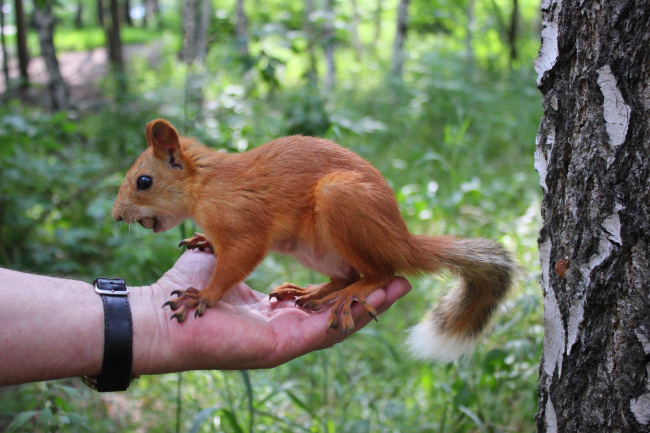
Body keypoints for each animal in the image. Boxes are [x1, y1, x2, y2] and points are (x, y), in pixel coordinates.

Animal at [111, 118, 516, 362]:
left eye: (143, 181)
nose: (116, 217)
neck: (207, 185)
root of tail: (401, 239)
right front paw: (203, 240)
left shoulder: (245, 224)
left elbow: (236, 261)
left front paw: (203, 295)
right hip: (312, 248)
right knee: (346, 273)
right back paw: (310, 292)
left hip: (342, 201)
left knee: (381, 273)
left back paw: (347, 296)